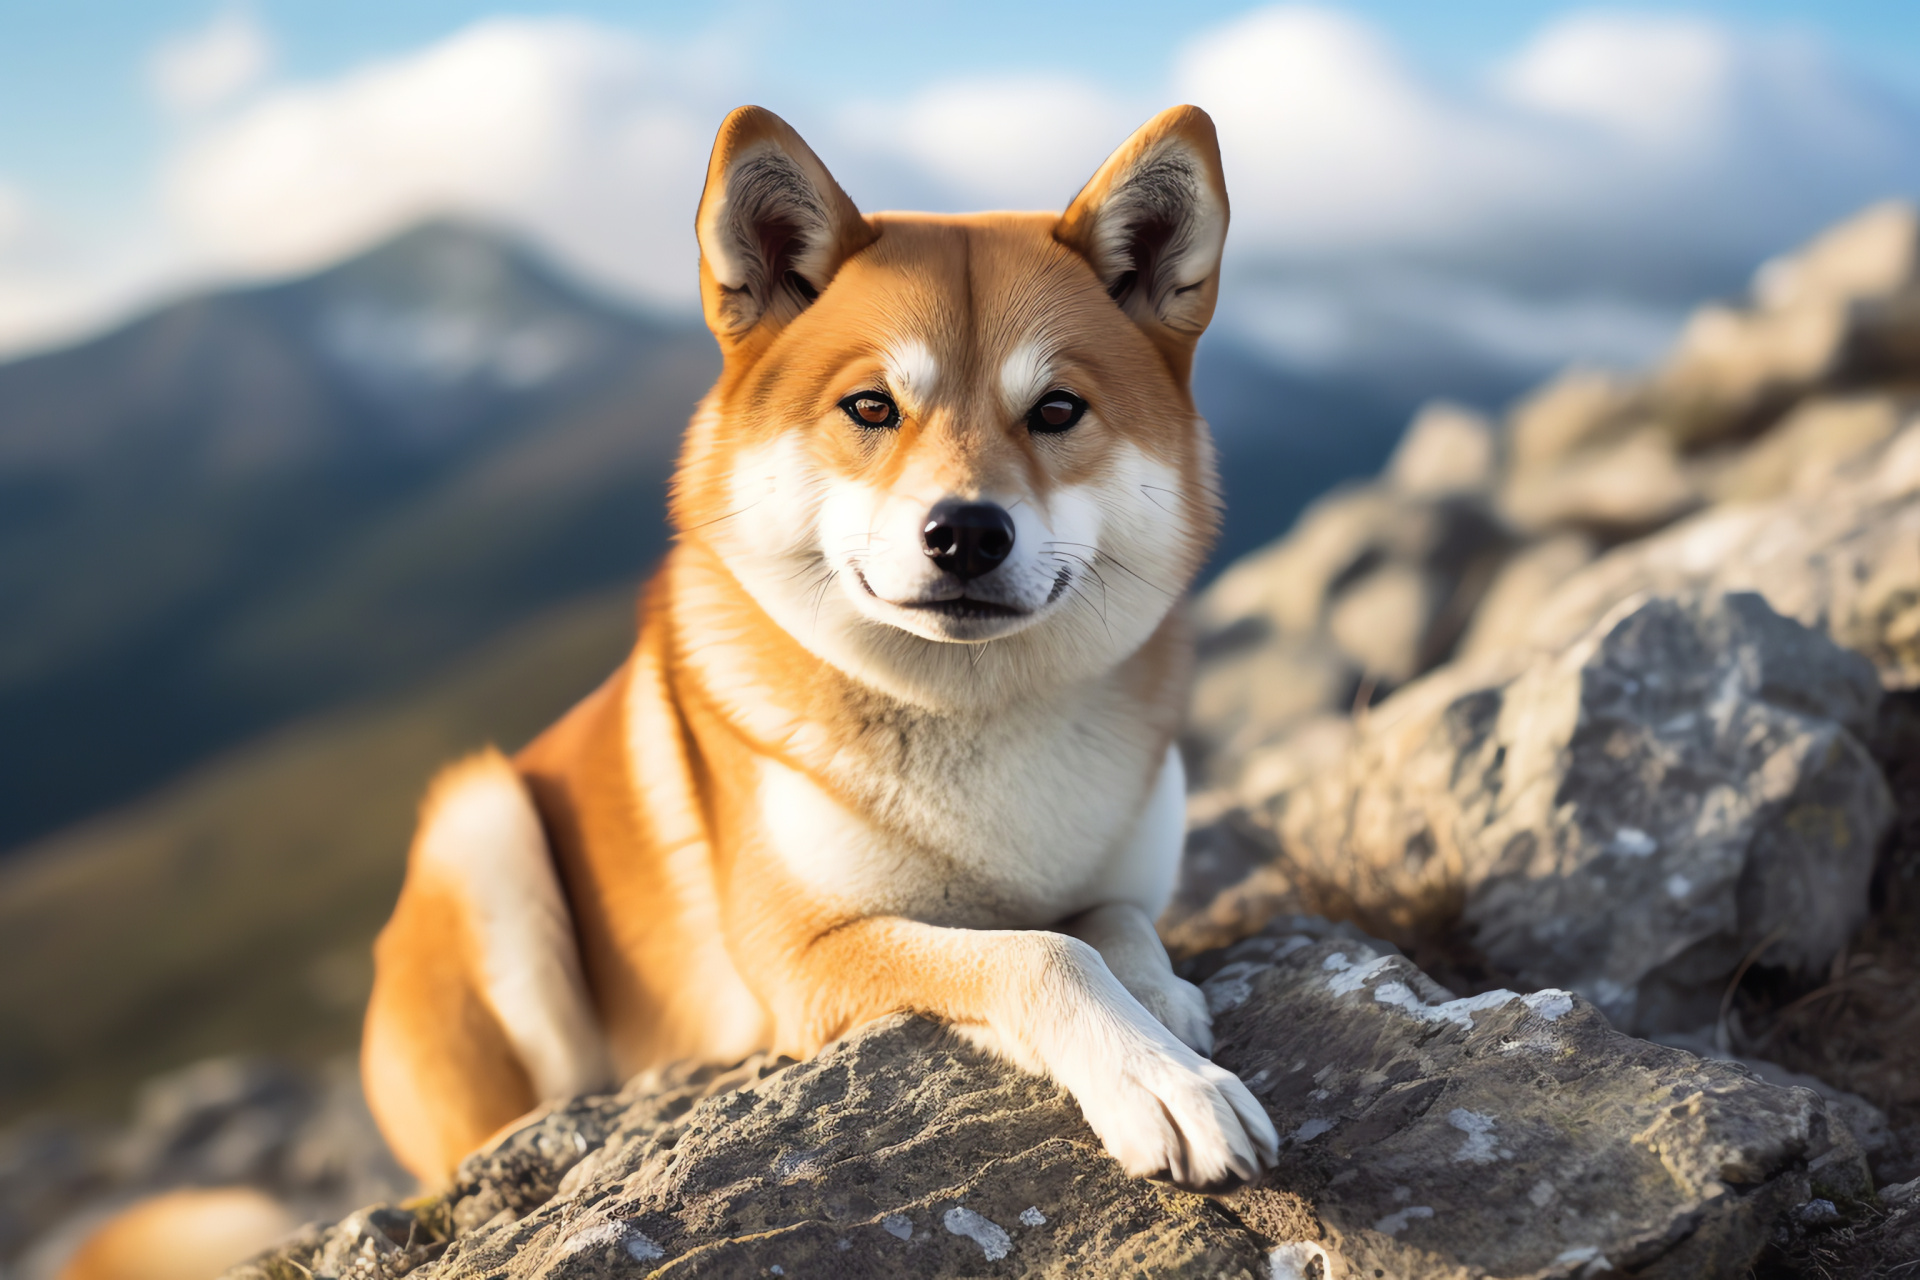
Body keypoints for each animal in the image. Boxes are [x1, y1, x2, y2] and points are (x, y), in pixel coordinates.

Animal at [366, 105, 1282, 1197]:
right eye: (871, 406)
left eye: (1058, 409)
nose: (966, 532)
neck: (973, 720)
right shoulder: (810, 955)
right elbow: (1041, 953)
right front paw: (1162, 1082)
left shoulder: (1115, 882)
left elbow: (1116, 926)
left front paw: (1168, 1006)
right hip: (483, 824)